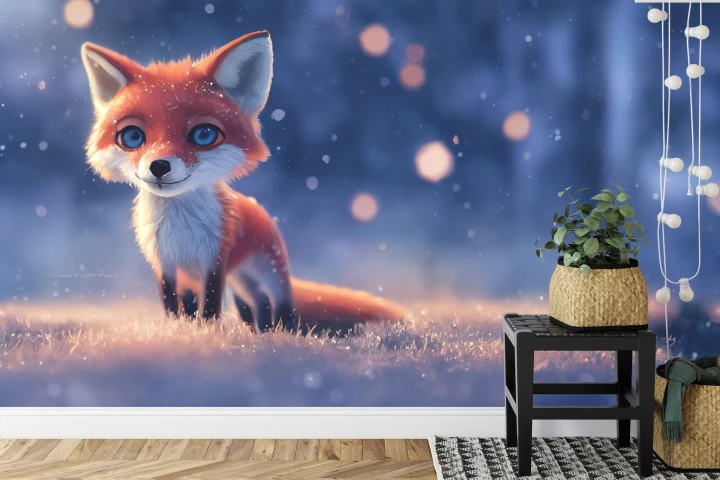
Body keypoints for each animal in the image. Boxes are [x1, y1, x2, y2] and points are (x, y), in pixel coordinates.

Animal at [80, 31, 406, 333]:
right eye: (132, 136)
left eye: (204, 135)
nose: (159, 165)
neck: (180, 229)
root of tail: (260, 210)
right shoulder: (169, 266)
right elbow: (177, 305)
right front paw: (182, 331)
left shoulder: (215, 260)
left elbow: (210, 304)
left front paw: (207, 332)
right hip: (241, 281)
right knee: (257, 303)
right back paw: (258, 332)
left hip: (269, 273)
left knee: (282, 302)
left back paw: (283, 333)